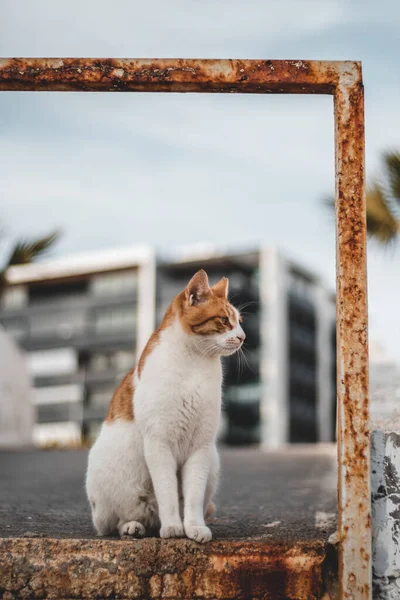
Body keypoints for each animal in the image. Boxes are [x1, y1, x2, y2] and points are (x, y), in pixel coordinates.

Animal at [86, 270, 245, 544]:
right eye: (225, 320)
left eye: (240, 322)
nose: (243, 336)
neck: (195, 363)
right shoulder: (159, 444)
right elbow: (168, 492)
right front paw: (172, 527)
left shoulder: (200, 447)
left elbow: (192, 496)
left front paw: (194, 527)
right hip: (104, 480)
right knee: (115, 522)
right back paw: (134, 526)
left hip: (213, 462)